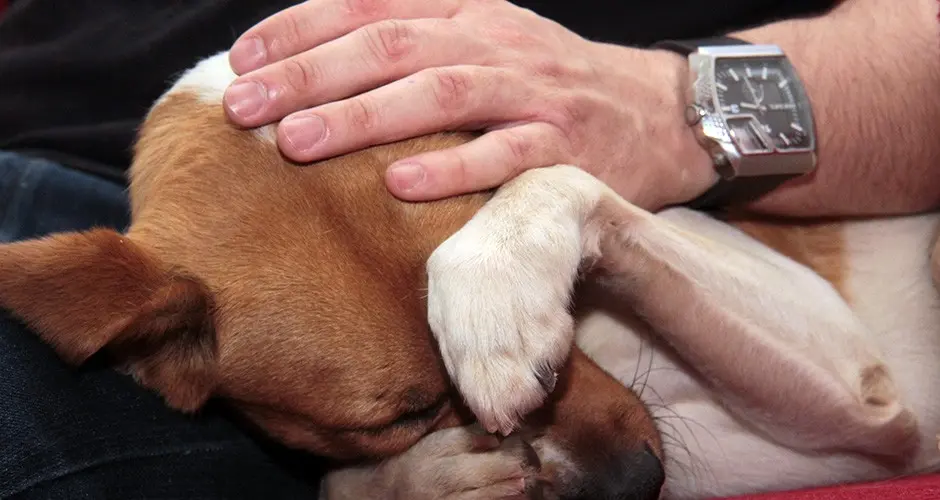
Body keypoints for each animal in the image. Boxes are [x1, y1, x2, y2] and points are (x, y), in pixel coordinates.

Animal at [0, 49, 936, 500]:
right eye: (403, 417)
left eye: (567, 309)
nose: (639, 485)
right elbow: (345, 484)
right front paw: (424, 480)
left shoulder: (859, 378)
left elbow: (552, 176)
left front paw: (491, 291)